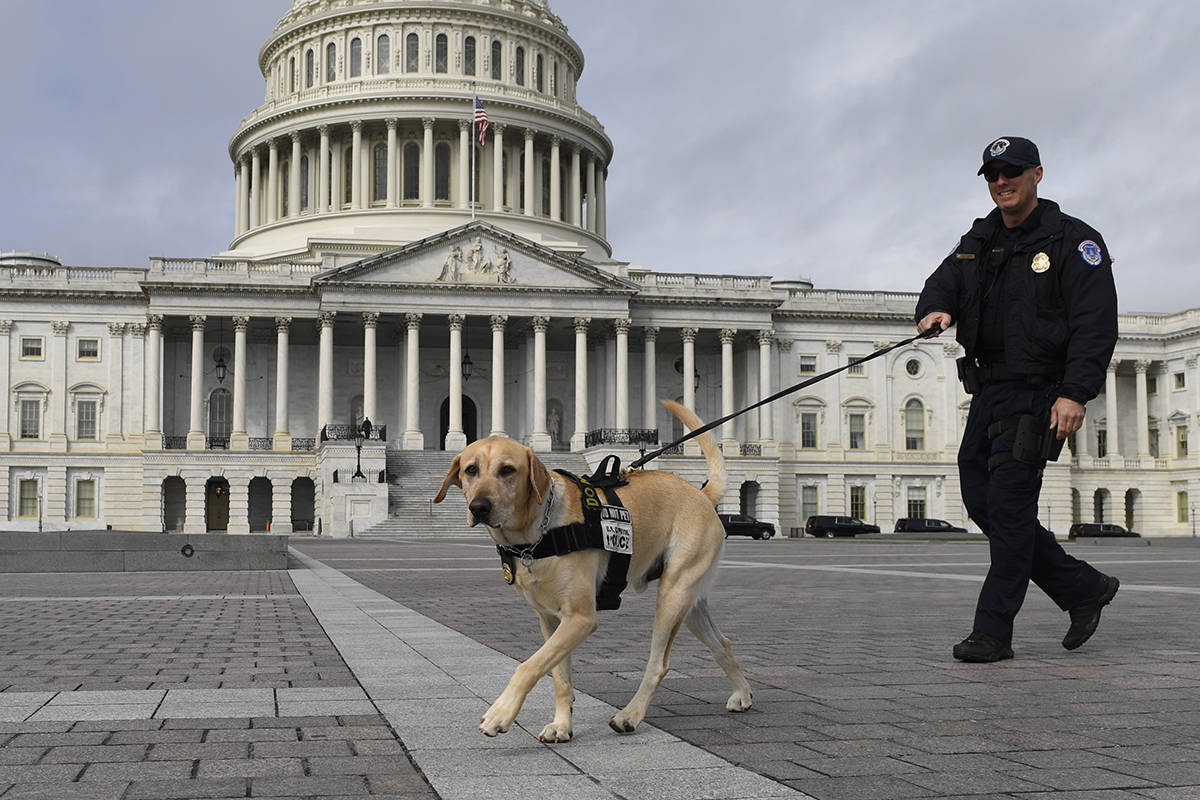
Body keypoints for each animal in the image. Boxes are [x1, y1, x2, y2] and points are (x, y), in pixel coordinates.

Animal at [432, 402, 748, 743]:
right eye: (471, 470)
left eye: (507, 470)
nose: (479, 507)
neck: (536, 536)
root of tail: (701, 494)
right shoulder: (551, 621)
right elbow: (559, 676)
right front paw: (562, 725)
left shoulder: (581, 618)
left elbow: (528, 666)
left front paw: (501, 713)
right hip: (689, 604)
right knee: (722, 644)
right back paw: (742, 694)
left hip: (672, 596)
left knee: (659, 664)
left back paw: (629, 716)